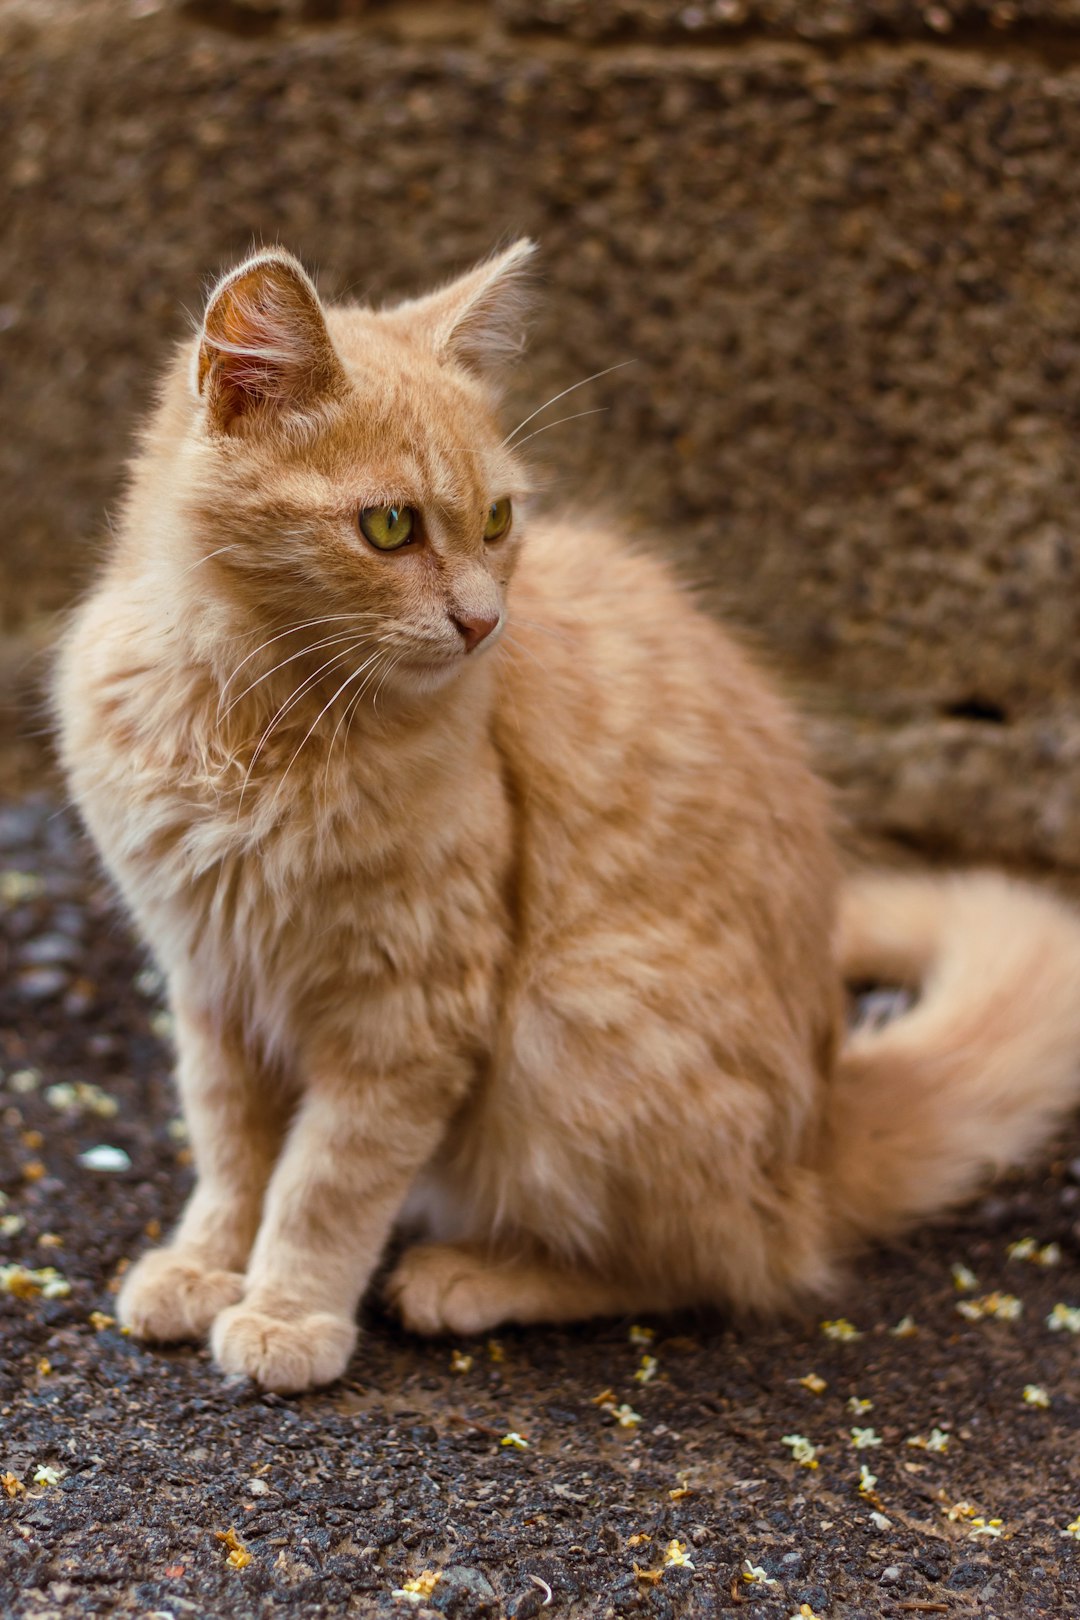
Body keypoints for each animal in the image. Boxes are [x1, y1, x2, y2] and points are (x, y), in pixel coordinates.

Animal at [57, 239, 1080, 1393]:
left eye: (498, 521)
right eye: (390, 526)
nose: (482, 622)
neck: (249, 720)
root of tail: (821, 1139)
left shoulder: (411, 1008)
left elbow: (326, 1181)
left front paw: (288, 1312)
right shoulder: (213, 983)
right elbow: (233, 1155)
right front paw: (203, 1266)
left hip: (571, 1020)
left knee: (720, 1264)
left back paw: (472, 1274)